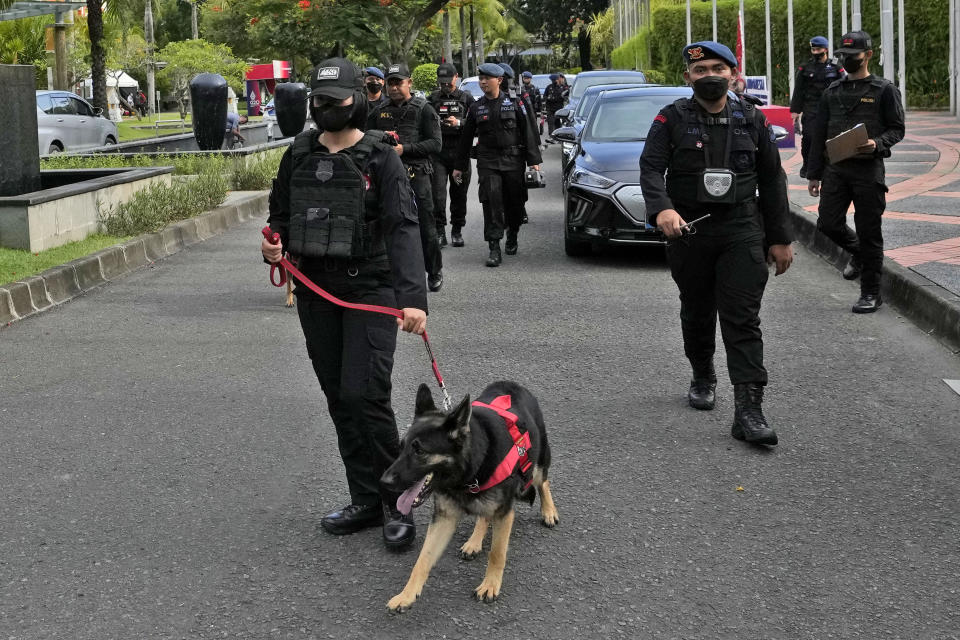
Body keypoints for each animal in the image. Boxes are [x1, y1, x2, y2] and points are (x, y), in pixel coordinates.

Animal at [378, 380, 560, 608]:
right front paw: (407, 594)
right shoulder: (443, 518)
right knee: (484, 515)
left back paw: (549, 511)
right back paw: (474, 541)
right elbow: (423, 559)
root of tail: (510, 384)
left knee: (543, 481)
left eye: (419, 451)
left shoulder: (504, 514)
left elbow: (497, 553)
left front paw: (490, 585)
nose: (383, 481)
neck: (470, 470)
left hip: (537, 464)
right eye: (401, 448)